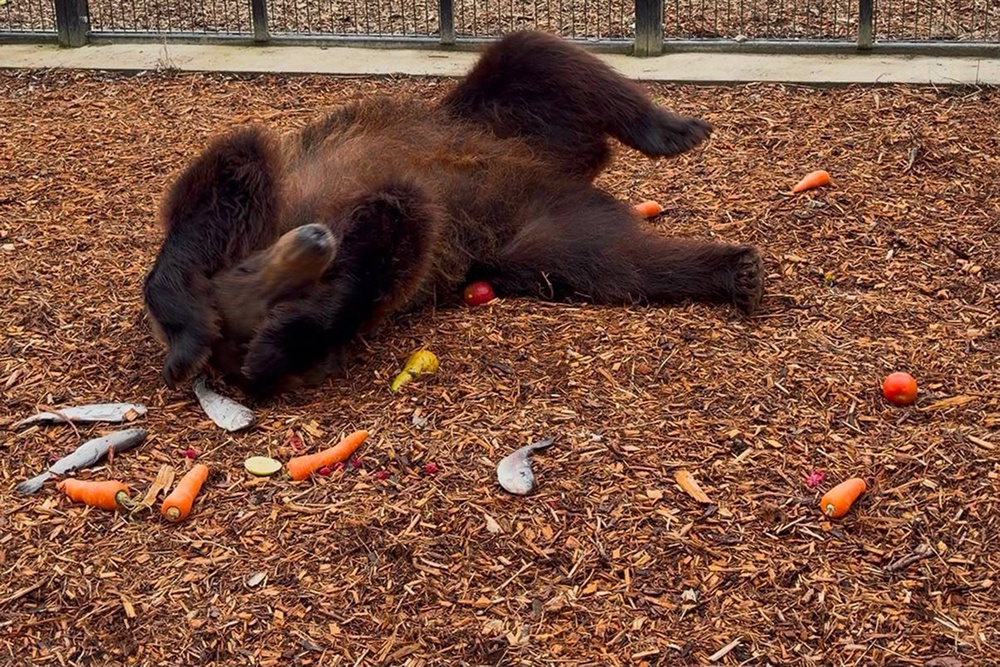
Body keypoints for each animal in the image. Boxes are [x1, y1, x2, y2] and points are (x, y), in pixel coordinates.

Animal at [142, 30, 765, 398]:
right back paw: (732, 268)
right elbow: (373, 263)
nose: (317, 238)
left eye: (256, 270)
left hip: (497, 117)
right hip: (533, 229)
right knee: (615, 258)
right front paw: (269, 344)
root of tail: (561, 170)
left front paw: (194, 331)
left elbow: (225, 180)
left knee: (538, 55)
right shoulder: (392, 244)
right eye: (268, 284)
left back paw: (679, 130)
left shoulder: (291, 195)